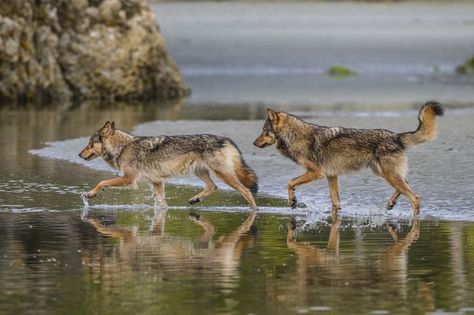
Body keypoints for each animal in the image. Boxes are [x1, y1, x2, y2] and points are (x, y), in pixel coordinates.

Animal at [79, 123, 258, 210]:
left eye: (89, 144)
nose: (79, 155)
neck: (123, 147)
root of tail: (227, 139)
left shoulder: (129, 179)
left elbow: (102, 182)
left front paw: (89, 194)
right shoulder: (156, 181)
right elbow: (162, 203)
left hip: (224, 174)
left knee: (247, 191)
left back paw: (254, 211)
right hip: (200, 172)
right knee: (212, 186)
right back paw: (196, 199)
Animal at [256, 101, 444, 215]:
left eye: (264, 131)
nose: (253, 142)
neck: (296, 136)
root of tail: (396, 136)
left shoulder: (316, 173)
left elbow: (289, 183)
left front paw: (293, 201)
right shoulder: (331, 176)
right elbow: (335, 203)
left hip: (388, 175)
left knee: (415, 197)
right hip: (385, 174)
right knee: (406, 185)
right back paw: (391, 203)